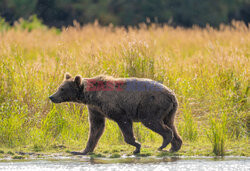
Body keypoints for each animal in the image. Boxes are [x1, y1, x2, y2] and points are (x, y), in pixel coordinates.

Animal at [49, 73, 182, 155]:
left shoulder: (115, 108)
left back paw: (163, 144)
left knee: (152, 122)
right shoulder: (95, 109)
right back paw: (174, 146)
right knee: (171, 124)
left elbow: (124, 123)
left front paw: (136, 146)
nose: (51, 97)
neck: (90, 96)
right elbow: (96, 128)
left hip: (151, 105)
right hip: (169, 110)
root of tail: (171, 94)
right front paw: (82, 150)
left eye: (62, 89)